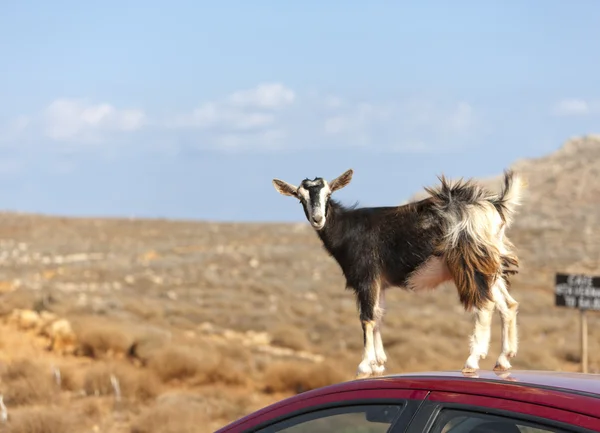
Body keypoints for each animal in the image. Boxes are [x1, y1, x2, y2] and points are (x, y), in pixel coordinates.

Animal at [272, 167, 524, 376]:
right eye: (300, 197)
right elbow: (379, 315)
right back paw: (503, 360)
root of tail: (495, 205)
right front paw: (379, 363)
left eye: (328, 194)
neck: (347, 229)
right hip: (490, 264)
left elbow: (367, 317)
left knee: (485, 304)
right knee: (508, 304)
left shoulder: (367, 277)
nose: (317, 219)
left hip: (468, 262)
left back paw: (472, 361)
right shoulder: (380, 282)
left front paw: (365, 365)